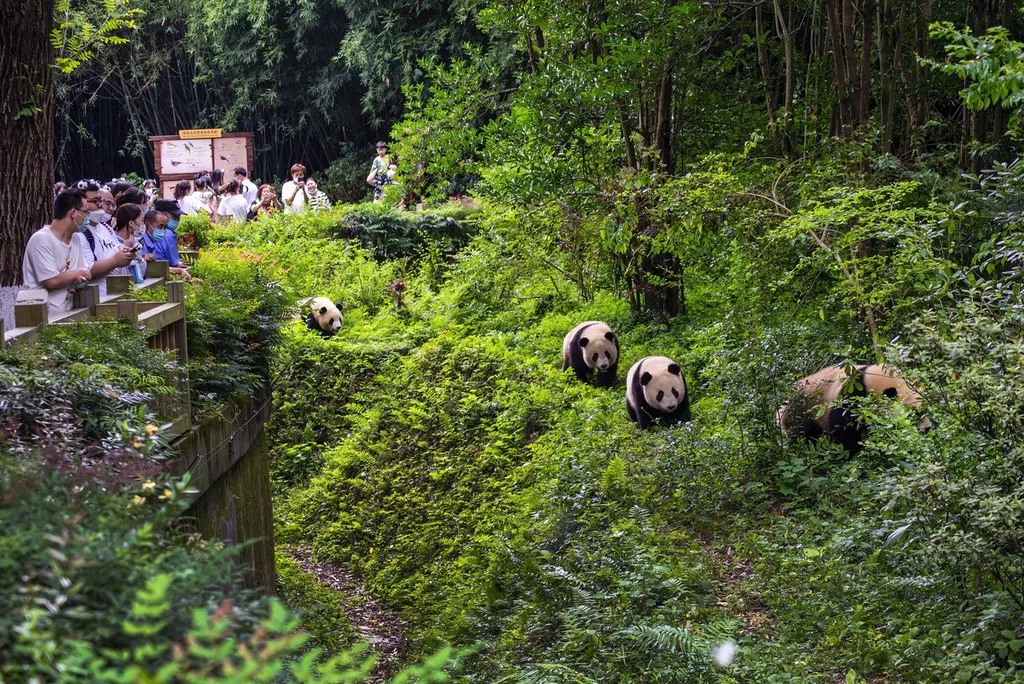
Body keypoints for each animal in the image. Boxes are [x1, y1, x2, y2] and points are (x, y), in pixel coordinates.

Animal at [776, 363, 929, 451]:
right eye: (913, 415)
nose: (926, 429)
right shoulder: (853, 393)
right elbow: (844, 428)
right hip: (801, 412)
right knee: (805, 435)